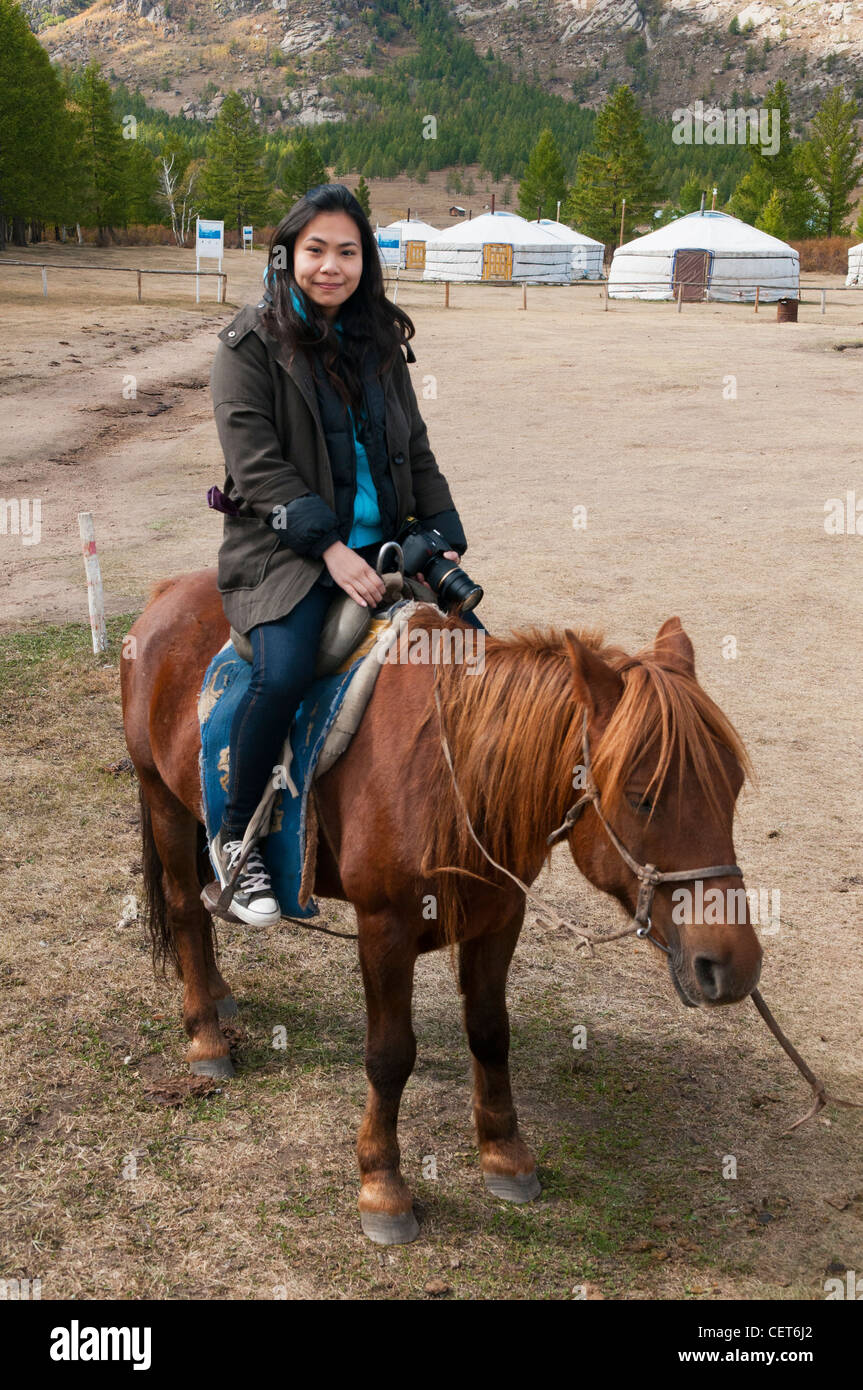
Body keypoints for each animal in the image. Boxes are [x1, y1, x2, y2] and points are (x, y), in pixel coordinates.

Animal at [119, 569, 761, 1245]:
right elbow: (390, 1056)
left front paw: (505, 1155)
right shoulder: (385, 931)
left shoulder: (499, 918)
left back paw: (217, 993)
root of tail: (167, 593)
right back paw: (206, 1036)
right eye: (642, 797)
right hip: (161, 797)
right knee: (186, 910)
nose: (733, 965)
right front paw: (382, 1185)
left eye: (733, 788)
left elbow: (490, 1033)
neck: (446, 773)